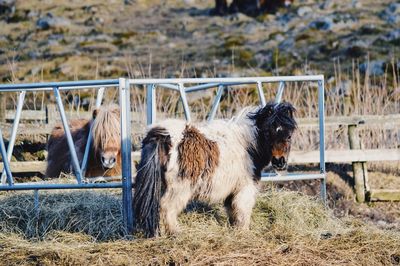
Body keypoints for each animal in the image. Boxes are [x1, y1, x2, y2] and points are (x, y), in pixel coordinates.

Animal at [133, 101, 296, 237]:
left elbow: (233, 211)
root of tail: (162, 136)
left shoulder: (232, 190)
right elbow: (243, 211)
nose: (279, 161)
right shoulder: (245, 187)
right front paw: (243, 232)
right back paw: (176, 233)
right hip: (179, 189)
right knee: (166, 208)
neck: (247, 144)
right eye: (268, 133)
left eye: (289, 135)